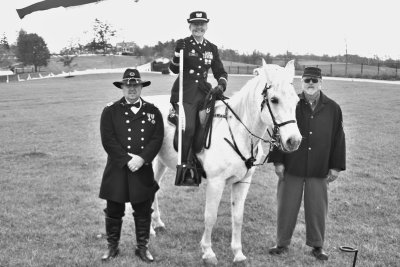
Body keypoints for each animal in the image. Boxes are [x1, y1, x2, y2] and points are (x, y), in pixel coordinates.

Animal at [150, 59, 300, 266]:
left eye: (297, 100)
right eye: (274, 99)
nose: (294, 141)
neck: (238, 130)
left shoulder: (242, 182)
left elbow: (237, 217)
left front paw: (238, 253)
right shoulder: (216, 182)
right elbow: (210, 216)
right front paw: (208, 251)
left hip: (161, 162)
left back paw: (157, 222)